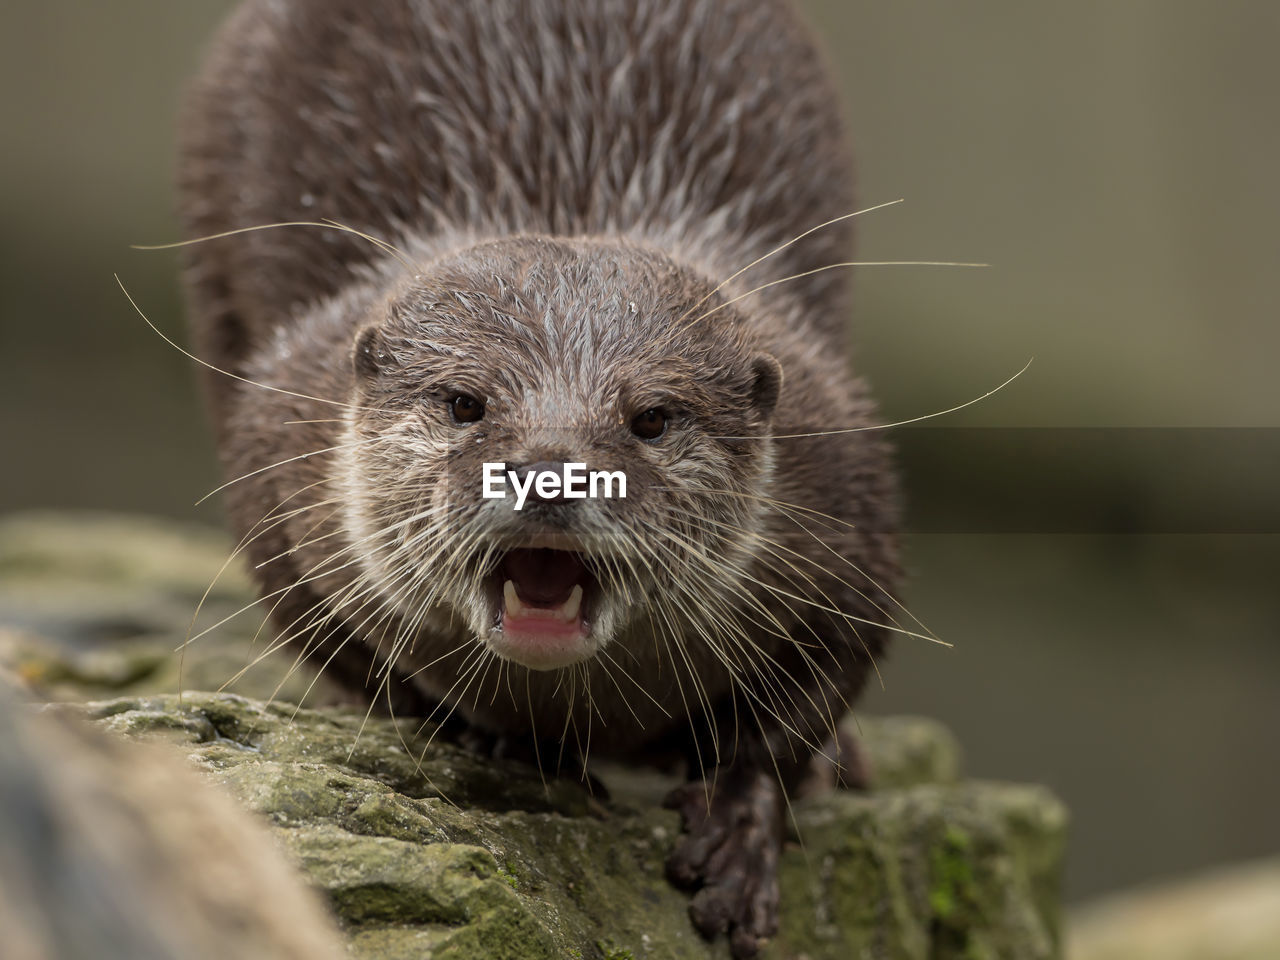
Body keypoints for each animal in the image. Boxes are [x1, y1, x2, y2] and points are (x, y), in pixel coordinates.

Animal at [177, 3, 901, 957]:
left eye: (651, 417)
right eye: (464, 402)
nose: (551, 474)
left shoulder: (852, 496)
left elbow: (805, 704)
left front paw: (741, 833)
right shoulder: (278, 468)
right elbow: (355, 660)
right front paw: (517, 749)